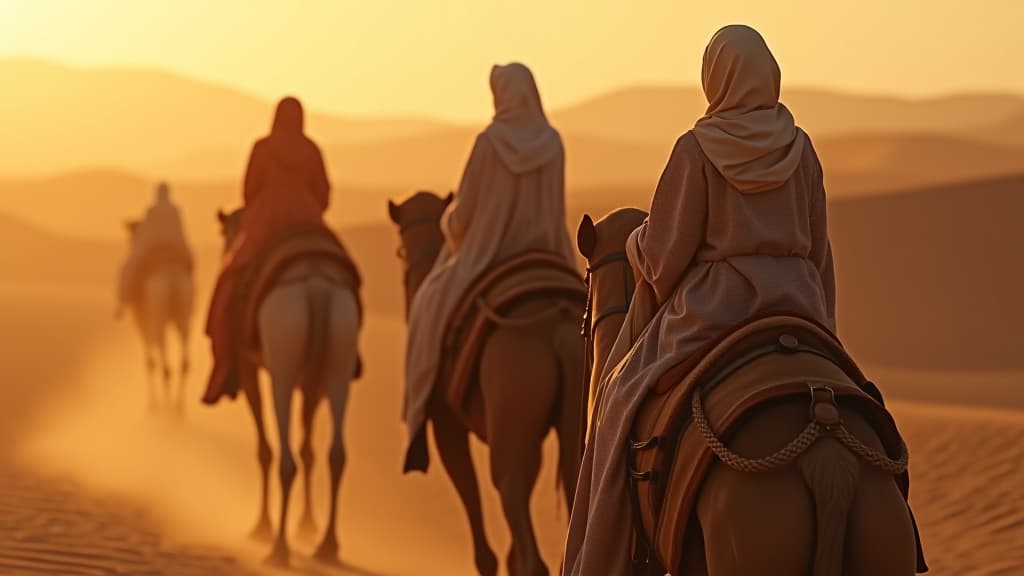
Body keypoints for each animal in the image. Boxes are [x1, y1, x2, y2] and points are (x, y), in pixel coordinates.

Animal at [121, 219, 193, 412]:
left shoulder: (142, 323)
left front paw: (153, 405)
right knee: (183, 364)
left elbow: (149, 362)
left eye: (131, 236)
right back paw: (179, 408)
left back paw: (167, 408)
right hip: (184, 315)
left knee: (165, 367)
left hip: (158, 318)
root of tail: (171, 273)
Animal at [216, 207, 360, 565]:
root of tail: (316, 281)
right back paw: (327, 544)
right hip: (339, 360)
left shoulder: (248, 367)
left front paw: (262, 526)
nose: (226, 255)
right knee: (336, 452)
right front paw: (306, 525)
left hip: (282, 362)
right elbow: (310, 447)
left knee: (285, 456)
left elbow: (265, 449)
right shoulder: (313, 381)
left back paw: (278, 546)